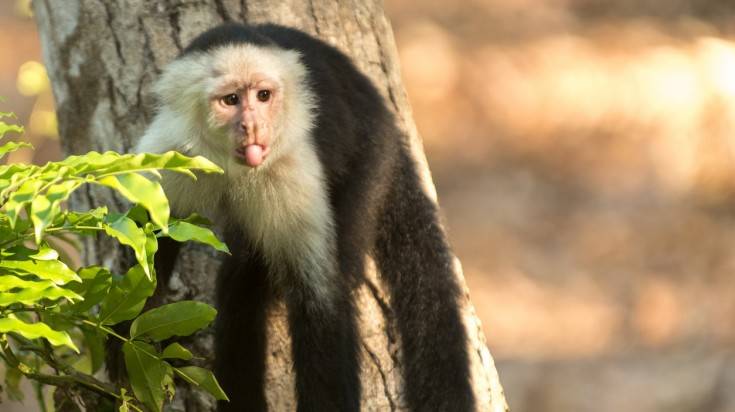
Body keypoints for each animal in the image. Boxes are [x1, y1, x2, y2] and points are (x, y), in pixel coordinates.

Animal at [136, 23, 474, 412]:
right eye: (231, 100)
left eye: (263, 96)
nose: (253, 126)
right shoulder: (169, 151)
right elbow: (150, 247)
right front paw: (126, 346)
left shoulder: (293, 169)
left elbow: (320, 299)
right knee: (241, 286)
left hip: (371, 155)